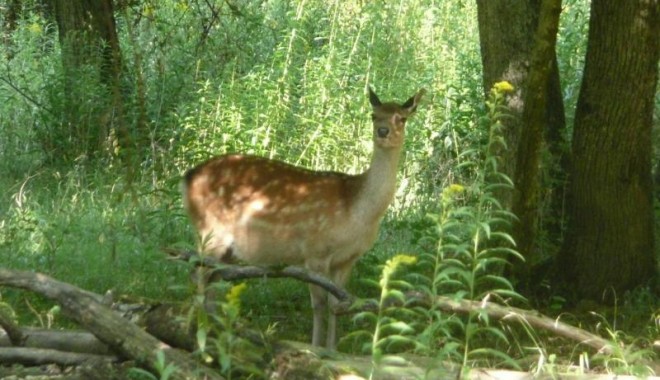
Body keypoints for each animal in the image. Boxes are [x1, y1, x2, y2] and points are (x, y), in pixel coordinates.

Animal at [183, 87, 426, 348]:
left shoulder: (347, 259)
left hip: (225, 248)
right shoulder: (315, 251)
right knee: (198, 274)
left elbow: (337, 304)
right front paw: (315, 348)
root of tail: (187, 178)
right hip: (210, 231)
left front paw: (332, 350)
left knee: (213, 280)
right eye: (373, 115)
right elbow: (318, 305)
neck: (357, 210)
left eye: (402, 118)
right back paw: (195, 335)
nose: (382, 132)